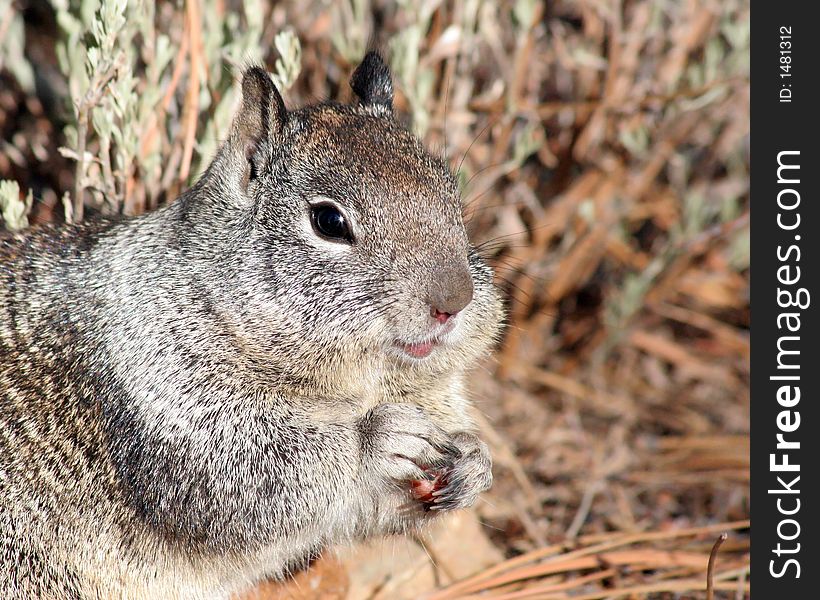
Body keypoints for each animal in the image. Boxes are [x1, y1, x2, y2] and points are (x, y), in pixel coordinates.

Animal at [0, 54, 502, 596]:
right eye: (329, 222)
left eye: (451, 191)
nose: (454, 301)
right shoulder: (173, 412)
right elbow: (257, 481)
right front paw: (377, 438)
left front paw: (475, 461)